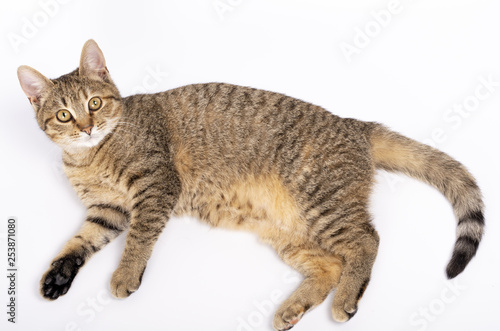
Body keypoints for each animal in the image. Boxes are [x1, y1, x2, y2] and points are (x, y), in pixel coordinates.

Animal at [17, 40, 482, 330]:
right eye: (63, 115)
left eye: (95, 103)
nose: (87, 126)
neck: (91, 157)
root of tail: (355, 125)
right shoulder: (107, 210)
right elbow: (80, 241)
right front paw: (59, 274)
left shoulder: (155, 186)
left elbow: (139, 239)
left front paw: (126, 273)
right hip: (289, 231)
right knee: (331, 264)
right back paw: (294, 308)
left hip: (321, 202)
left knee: (366, 241)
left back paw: (345, 300)